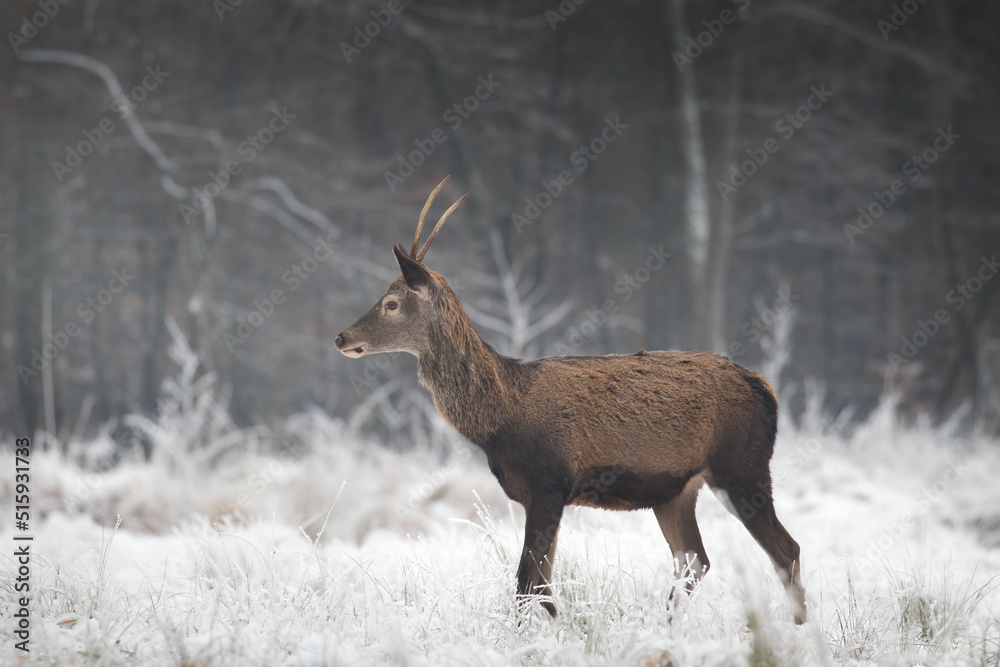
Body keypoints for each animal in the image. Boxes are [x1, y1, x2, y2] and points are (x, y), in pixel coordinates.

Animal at [335, 177, 807, 625]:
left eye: (391, 303)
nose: (341, 337)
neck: (502, 416)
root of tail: (765, 389)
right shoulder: (537, 494)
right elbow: (542, 584)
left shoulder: (550, 483)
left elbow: (526, 583)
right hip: (676, 490)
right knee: (695, 561)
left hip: (742, 466)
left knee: (786, 549)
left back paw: (799, 631)